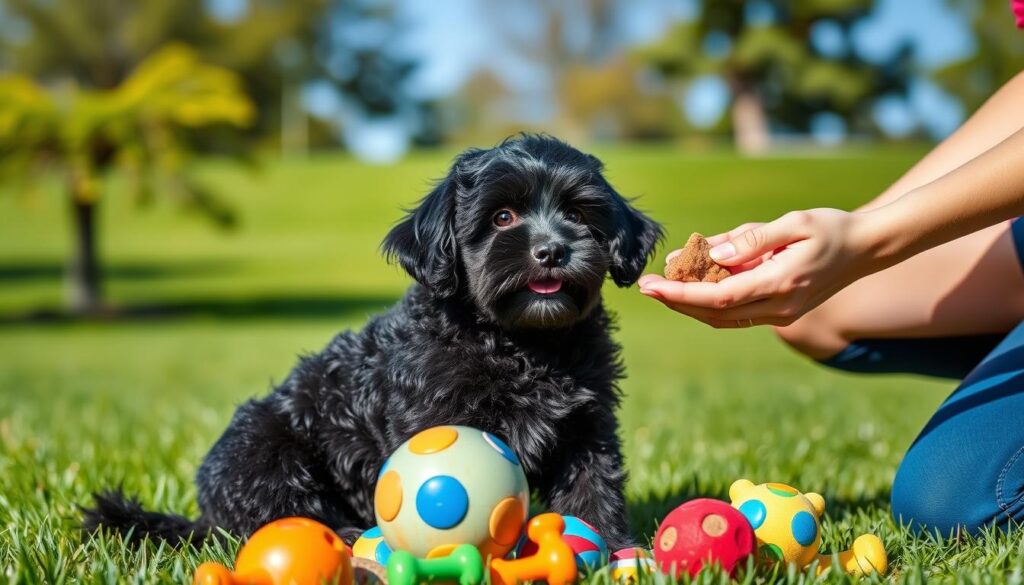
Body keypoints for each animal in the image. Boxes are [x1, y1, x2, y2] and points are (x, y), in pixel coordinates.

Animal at [88, 135, 663, 553]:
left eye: (578, 215)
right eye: (503, 217)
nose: (551, 250)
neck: (522, 346)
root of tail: (204, 515)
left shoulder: (588, 429)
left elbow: (593, 489)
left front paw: (611, 549)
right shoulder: (436, 416)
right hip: (265, 448)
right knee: (274, 514)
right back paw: (340, 538)